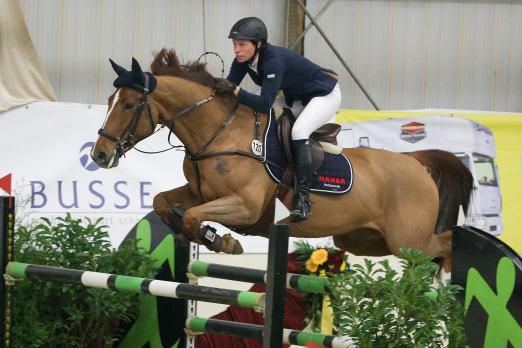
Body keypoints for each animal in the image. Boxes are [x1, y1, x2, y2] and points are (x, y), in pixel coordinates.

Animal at [89, 49, 472, 272]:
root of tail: (417, 162)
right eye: (109, 101)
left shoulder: (245, 206)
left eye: (128, 104)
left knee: (446, 245)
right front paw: (209, 238)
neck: (220, 133)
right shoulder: (199, 193)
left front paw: (223, 241)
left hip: (408, 239)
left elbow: (195, 217)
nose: (99, 154)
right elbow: (163, 203)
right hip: (362, 239)